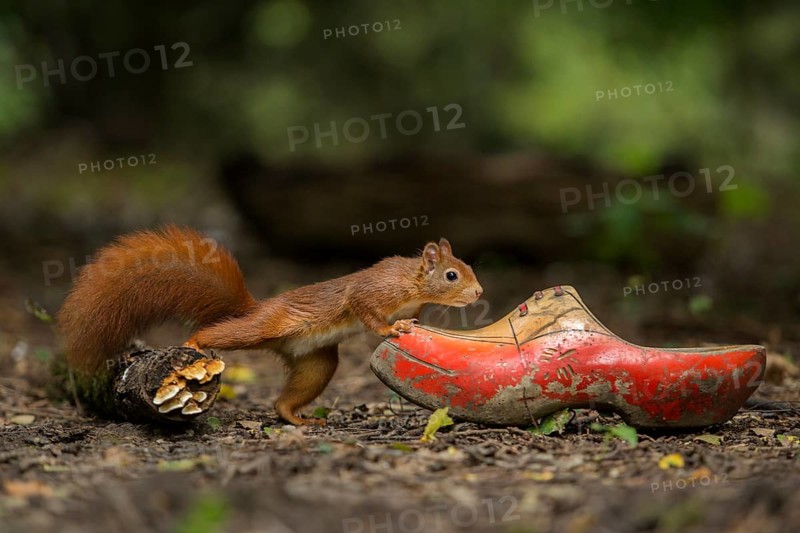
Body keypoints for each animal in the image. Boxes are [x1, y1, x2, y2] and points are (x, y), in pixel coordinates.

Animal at [57, 225, 483, 425]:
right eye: (451, 275)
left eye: (467, 266)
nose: (479, 292)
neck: (413, 283)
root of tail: (258, 307)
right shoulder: (371, 292)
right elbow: (368, 314)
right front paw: (392, 330)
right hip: (263, 327)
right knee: (221, 333)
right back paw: (195, 343)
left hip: (316, 363)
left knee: (284, 400)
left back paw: (296, 417)